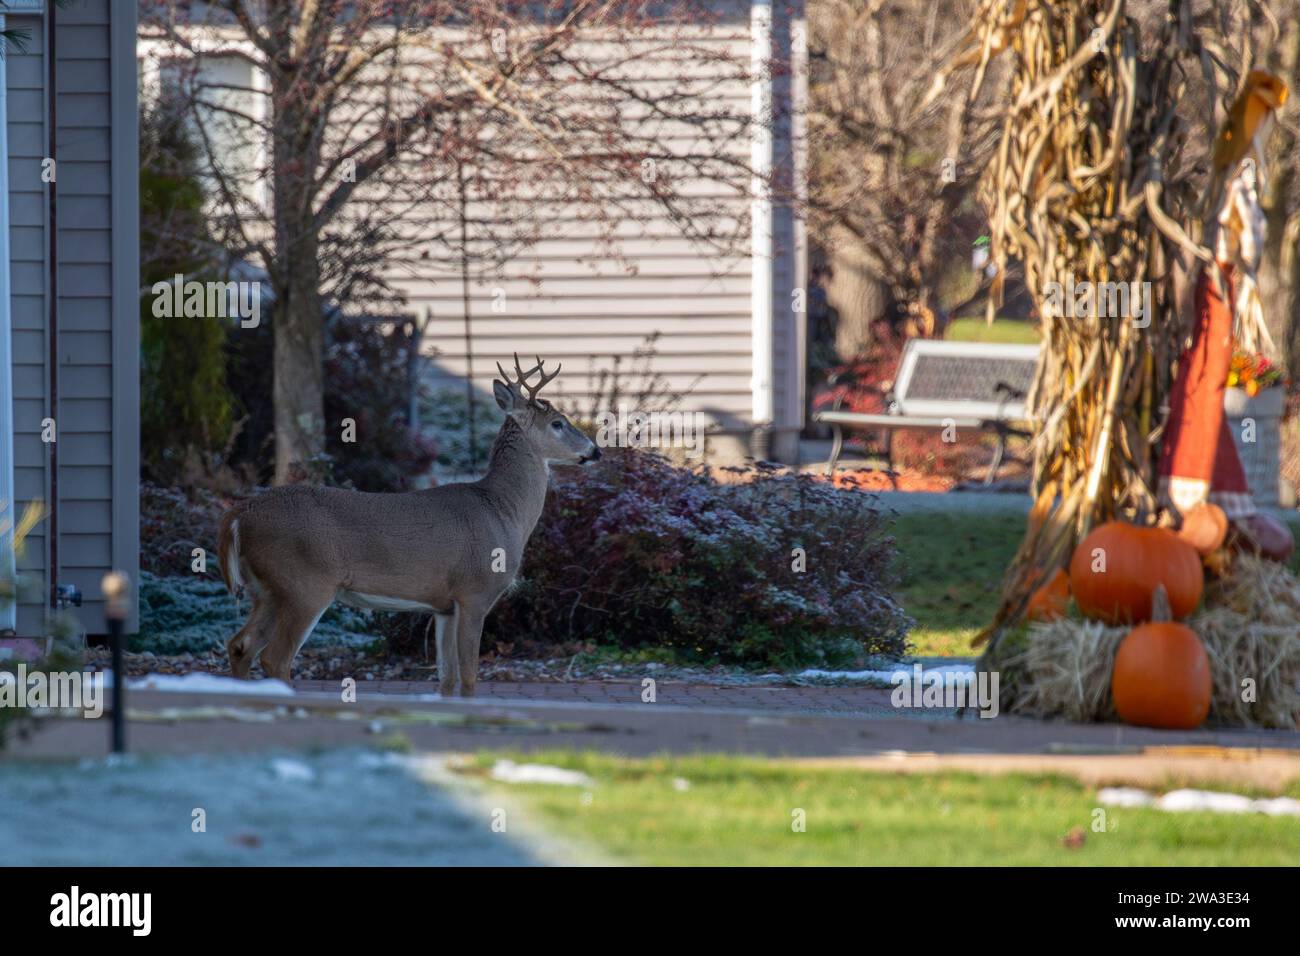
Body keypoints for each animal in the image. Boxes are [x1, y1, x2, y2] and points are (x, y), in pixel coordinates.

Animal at [216, 355, 599, 696]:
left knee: (240, 645)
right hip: (304, 583)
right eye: (558, 423)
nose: (596, 450)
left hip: (267, 590)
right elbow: (469, 675)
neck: (503, 509)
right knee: (275, 658)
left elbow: (447, 678)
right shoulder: (475, 591)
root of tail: (238, 514)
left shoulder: (444, 606)